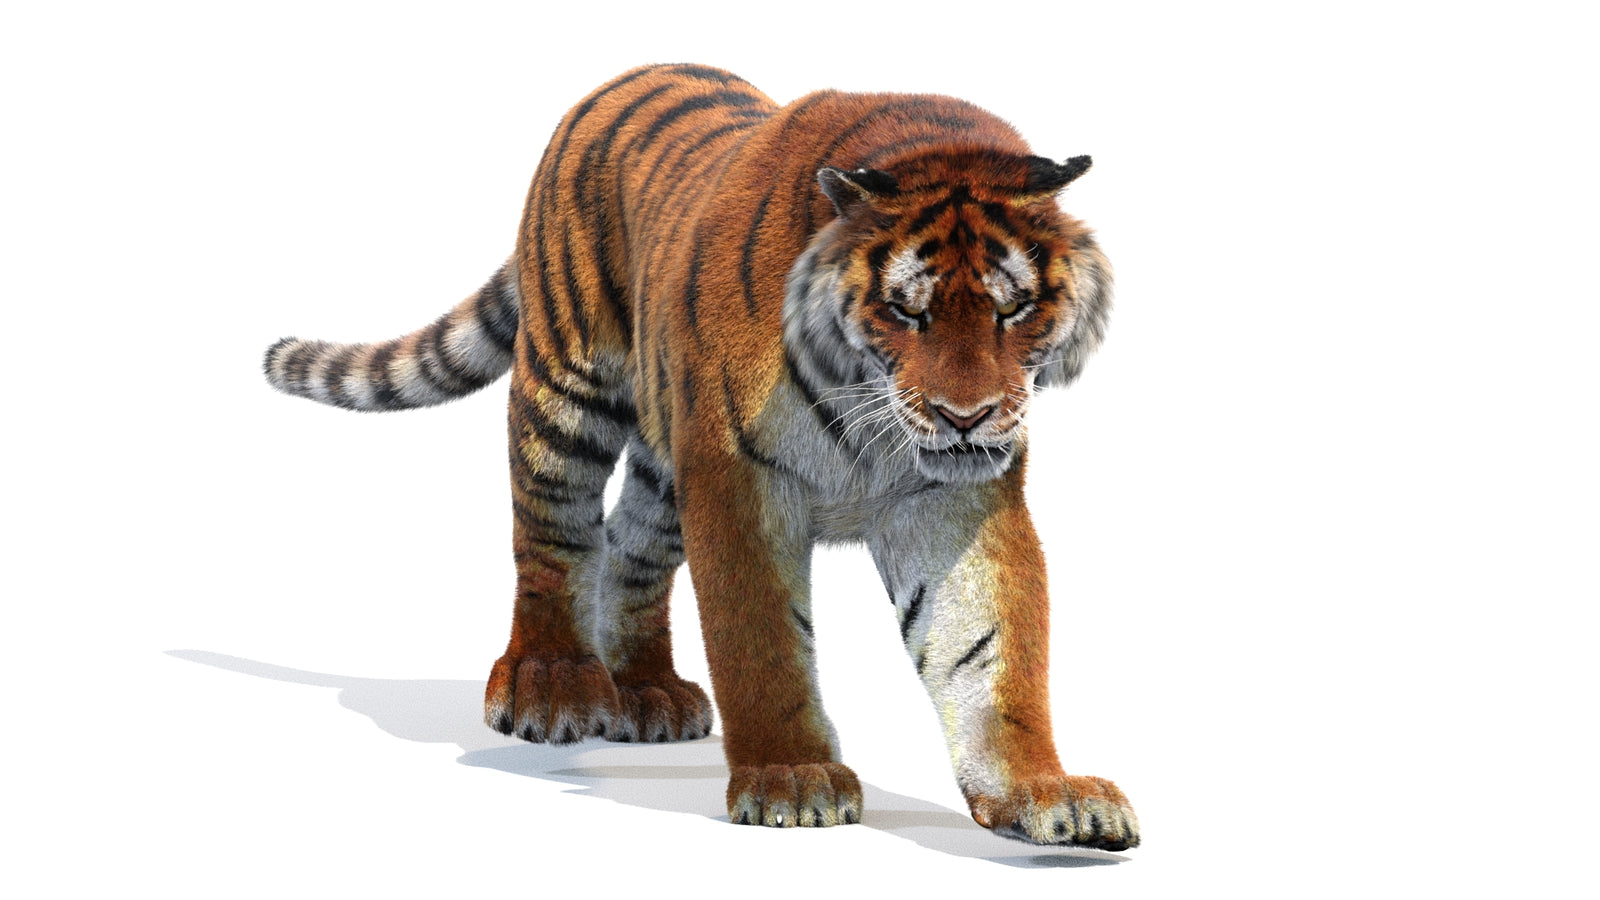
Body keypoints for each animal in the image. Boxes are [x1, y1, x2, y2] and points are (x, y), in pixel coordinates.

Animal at [264, 63, 1137, 849]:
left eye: (1013, 308)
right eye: (904, 311)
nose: (968, 416)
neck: (874, 411)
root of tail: (626, 78)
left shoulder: (952, 501)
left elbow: (991, 654)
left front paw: (1043, 792)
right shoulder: (738, 479)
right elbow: (762, 640)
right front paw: (792, 780)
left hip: (665, 461)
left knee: (629, 544)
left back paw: (646, 692)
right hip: (567, 388)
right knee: (552, 534)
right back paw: (552, 685)